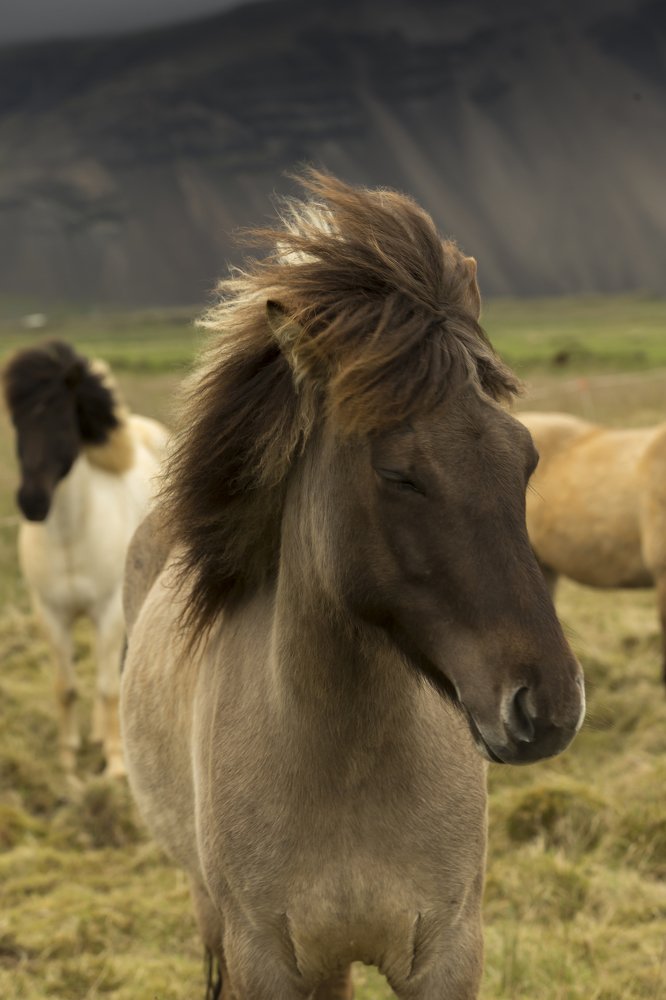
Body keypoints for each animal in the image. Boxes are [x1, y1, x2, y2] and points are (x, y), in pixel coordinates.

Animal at [3, 340, 169, 778]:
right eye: (18, 424)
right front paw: (67, 761)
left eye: (64, 420)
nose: (33, 501)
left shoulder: (108, 611)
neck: (70, 537)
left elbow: (109, 687)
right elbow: (66, 688)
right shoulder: (51, 614)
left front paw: (113, 765)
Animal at [120, 171, 585, 1000]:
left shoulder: (446, 954)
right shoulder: (264, 960)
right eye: (398, 473)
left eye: (525, 457)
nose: (549, 706)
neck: (345, 765)